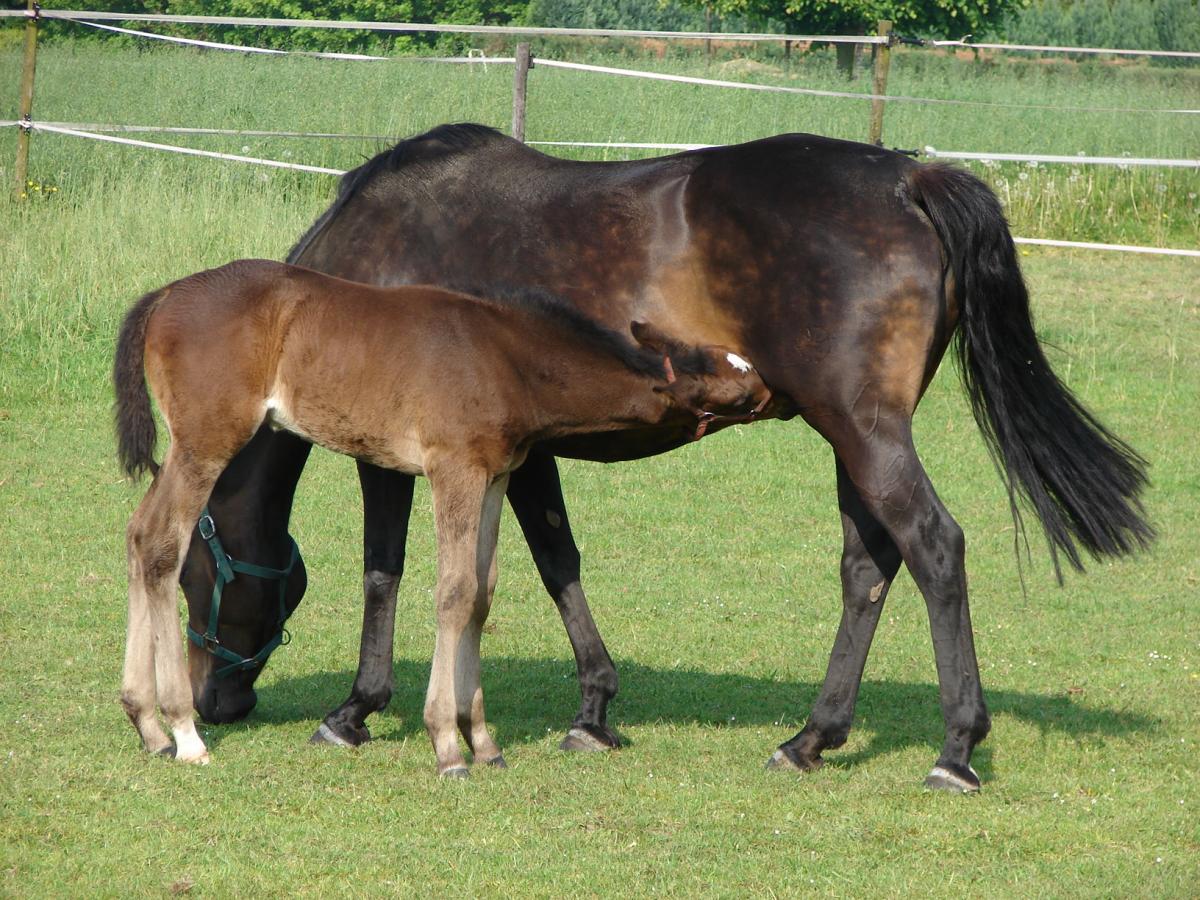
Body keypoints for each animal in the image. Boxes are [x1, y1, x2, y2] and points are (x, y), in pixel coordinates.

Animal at [112, 259, 768, 777]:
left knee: (139, 536)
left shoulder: (494, 476)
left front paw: (484, 740)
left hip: (188, 449)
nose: (771, 390)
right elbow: (453, 592)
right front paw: (448, 745)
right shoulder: (453, 469)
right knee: (164, 545)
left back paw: (148, 726)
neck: (506, 357)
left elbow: (481, 594)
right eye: (732, 385)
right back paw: (184, 732)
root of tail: (164, 296)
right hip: (206, 443)